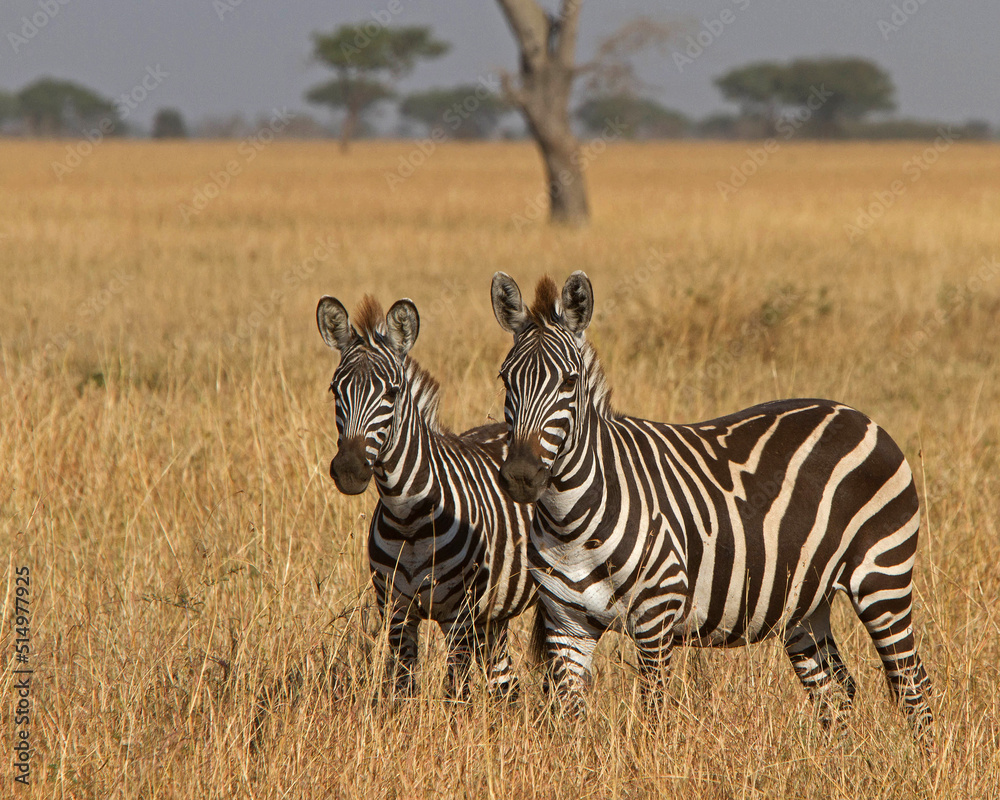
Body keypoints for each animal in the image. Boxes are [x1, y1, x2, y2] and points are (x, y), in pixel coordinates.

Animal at [316, 294, 536, 701]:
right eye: (335, 390)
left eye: (392, 392)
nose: (350, 470)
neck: (409, 519)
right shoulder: (397, 614)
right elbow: (403, 688)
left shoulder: (457, 617)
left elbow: (455, 693)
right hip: (495, 611)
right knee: (504, 682)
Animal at [490, 270, 933, 739]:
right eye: (505, 379)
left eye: (569, 382)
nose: (521, 475)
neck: (570, 522)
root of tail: (860, 416)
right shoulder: (566, 625)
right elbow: (570, 720)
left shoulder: (655, 615)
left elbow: (654, 713)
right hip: (806, 603)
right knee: (837, 691)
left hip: (882, 578)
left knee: (911, 684)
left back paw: (918, 754)